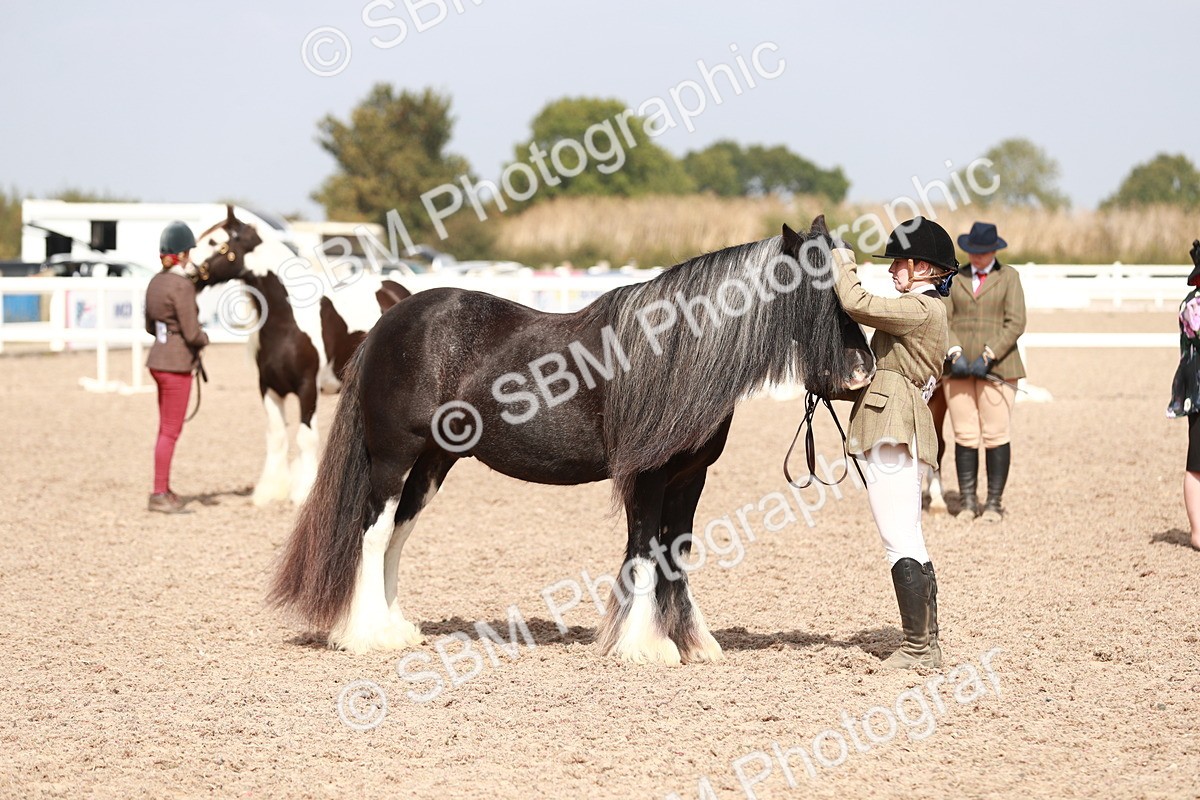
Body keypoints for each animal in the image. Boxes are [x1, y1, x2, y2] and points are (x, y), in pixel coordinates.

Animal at [191, 207, 411, 505]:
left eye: (215, 242)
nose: (186, 271)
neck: (286, 323)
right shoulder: (269, 389)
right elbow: (276, 436)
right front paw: (269, 491)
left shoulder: (308, 388)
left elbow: (306, 437)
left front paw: (302, 490)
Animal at [268, 216, 874, 663]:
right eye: (817, 289)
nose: (861, 372)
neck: (675, 352)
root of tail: (388, 322)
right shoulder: (648, 475)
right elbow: (644, 551)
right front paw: (643, 647)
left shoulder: (689, 477)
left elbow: (675, 553)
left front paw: (692, 643)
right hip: (395, 458)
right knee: (372, 534)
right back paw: (365, 635)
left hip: (433, 464)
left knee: (396, 537)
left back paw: (397, 630)